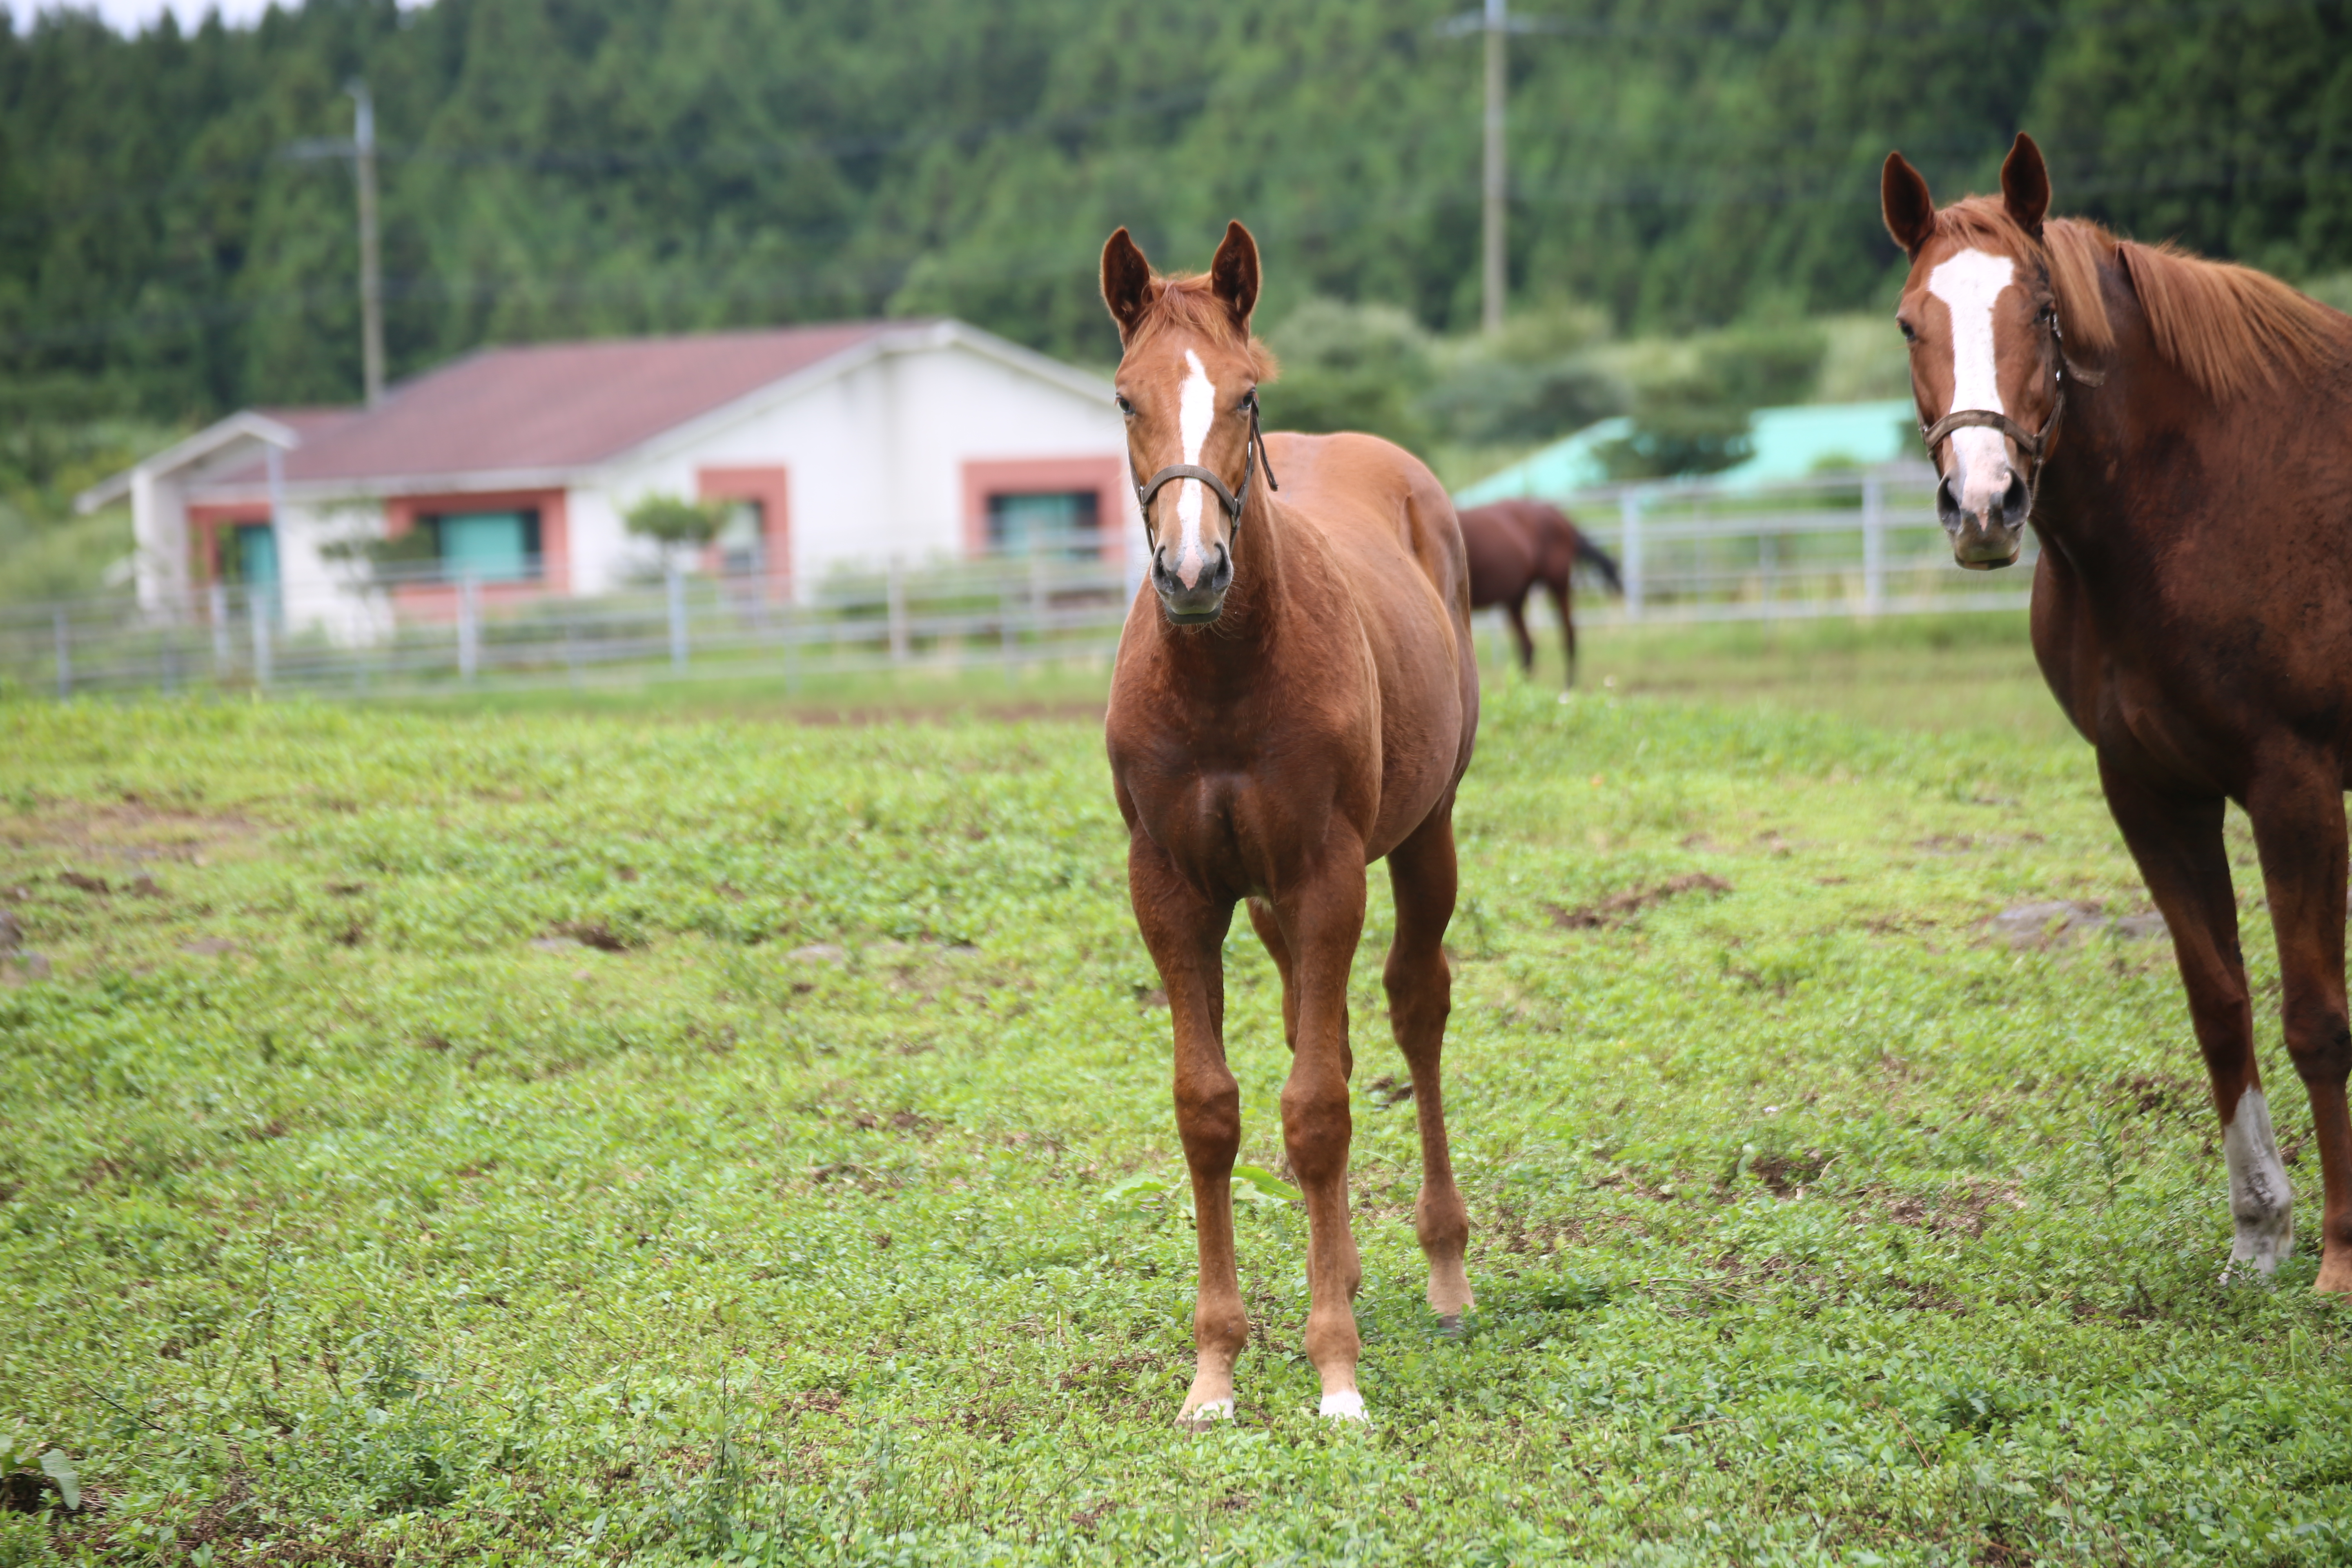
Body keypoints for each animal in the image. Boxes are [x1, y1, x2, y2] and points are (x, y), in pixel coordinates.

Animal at [1096, 221, 1468, 1420]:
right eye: (1124, 397)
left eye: (1246, 395)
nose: (1191, 570)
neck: (1222, 677)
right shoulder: (1173, 888)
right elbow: (1210, 1108)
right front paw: (1213, 1372)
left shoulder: (1325, 875)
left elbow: (1315, 1112)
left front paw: (1335, 1371)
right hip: (1265, 903)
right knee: (1333, 1036)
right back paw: (1339, 1263)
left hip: (1424, 835)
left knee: (1412, 1008)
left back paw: (1445, 1268)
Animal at [1449, 496, 1618, 686]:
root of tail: (1560, 517)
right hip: (1516, 599)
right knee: (1529, 645)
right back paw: (1523, 687)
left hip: (1559, 585)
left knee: (1569, 636)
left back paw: (1568, 687)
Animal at [1882, 135, 2352, 1297]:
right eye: (1910, 323)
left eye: (2043, 311)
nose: (1984, 506)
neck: (2197, 499)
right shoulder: (2148, 789)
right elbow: (2219, 1006)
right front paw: (2258, 1233)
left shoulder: (2295, 786)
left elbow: (2315, 1018)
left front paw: (2337, 1254)